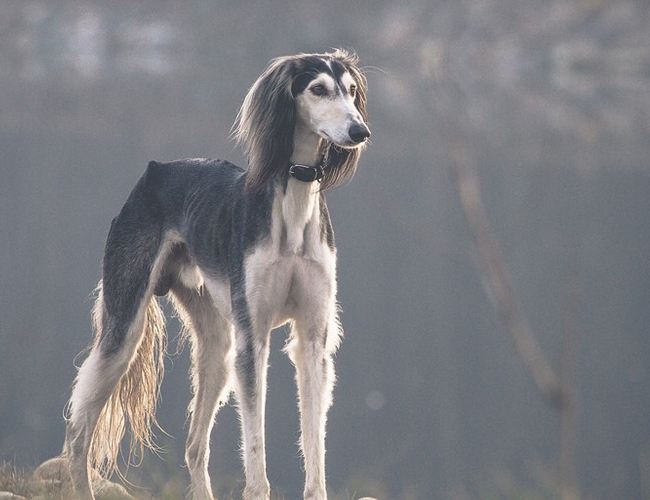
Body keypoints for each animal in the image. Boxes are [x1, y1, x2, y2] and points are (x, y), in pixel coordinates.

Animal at [64, 47, 370, 500]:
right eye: (318, 89)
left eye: (350, 90)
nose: (359, 130)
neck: (294, 203)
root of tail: (156, 170)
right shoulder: (253, 339)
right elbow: (255, 439)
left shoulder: (313, 340)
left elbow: (314, 437)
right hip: (124, 327)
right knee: (79, 432)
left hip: (217, 345)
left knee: (194, 444)